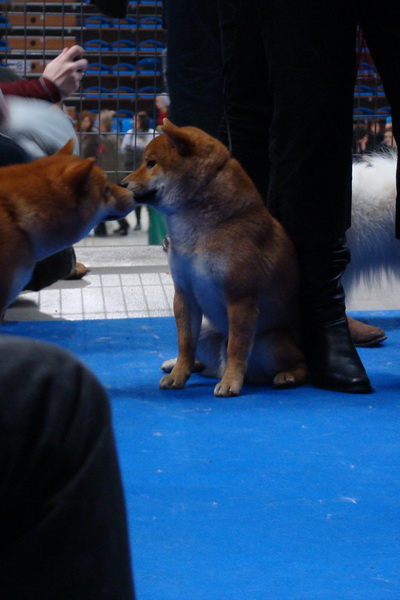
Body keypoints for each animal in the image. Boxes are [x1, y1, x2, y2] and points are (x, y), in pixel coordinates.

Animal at [123, 119, 308, 396]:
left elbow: (236, 348)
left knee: (303, 363)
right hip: (205, 331)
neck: (198, 229)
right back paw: (176, 364)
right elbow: (184, 345)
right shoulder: (184, 295)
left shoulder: (240, 299)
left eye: (151, 163)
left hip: (270, 342)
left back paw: (287, 376)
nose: (122, 184)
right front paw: (178, 375)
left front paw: (231, 382)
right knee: (198, 359)